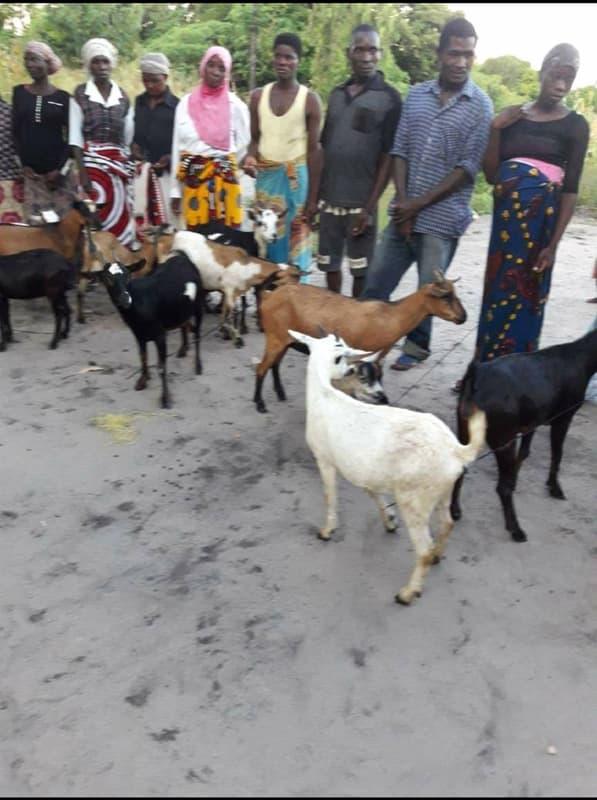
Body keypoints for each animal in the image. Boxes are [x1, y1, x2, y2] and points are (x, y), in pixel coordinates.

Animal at [253, 274, 466, 416]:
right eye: (445, 296)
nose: (463, 317)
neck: (391, 316)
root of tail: (269, 295)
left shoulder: (378, 356)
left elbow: (378, 377)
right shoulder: (361, 355)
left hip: (284, 340)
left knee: (274, 365)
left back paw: (280, 393)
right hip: (275, 337)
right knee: (262, 367)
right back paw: (260, 404)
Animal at [288, 332, 488, 608]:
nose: (349, 370)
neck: (323, 394)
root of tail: (456, 450)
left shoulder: (324, 459)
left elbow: (330, 496)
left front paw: (327, 531)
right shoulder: (366, 469)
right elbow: (373, 493)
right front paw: (389, 521)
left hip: (414, 500)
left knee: (422, 550)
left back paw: (408, 592)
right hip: (442, 491)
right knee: (447, 523)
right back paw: (438, 554)